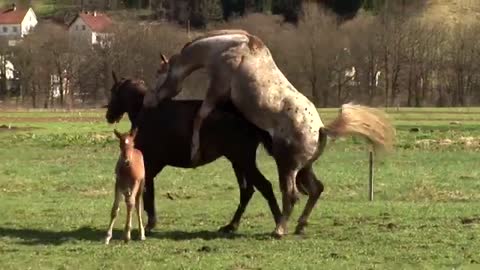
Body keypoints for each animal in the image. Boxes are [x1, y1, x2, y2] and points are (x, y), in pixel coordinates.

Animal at [106, 71, 282, 234]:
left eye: (113, 92)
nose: (109, 116)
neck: (146, 111)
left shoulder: (149, 163)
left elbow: (149, 192)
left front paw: (150, 223)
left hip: (243, 160)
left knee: (264, 186)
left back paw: (279, 225)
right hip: (238, 162)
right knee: (247, 191)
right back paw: (232, 225)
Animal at [144, 29, 396, 236]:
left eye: (158, 73)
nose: (149, 102)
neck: (229, 48)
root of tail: (321, 129)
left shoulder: (217, 89)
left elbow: (200, 117)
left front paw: (195, 150)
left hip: (286, 166)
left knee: (291, 195)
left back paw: (280, 230)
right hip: (303, 168)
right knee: (315, 189)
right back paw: (299, 225)